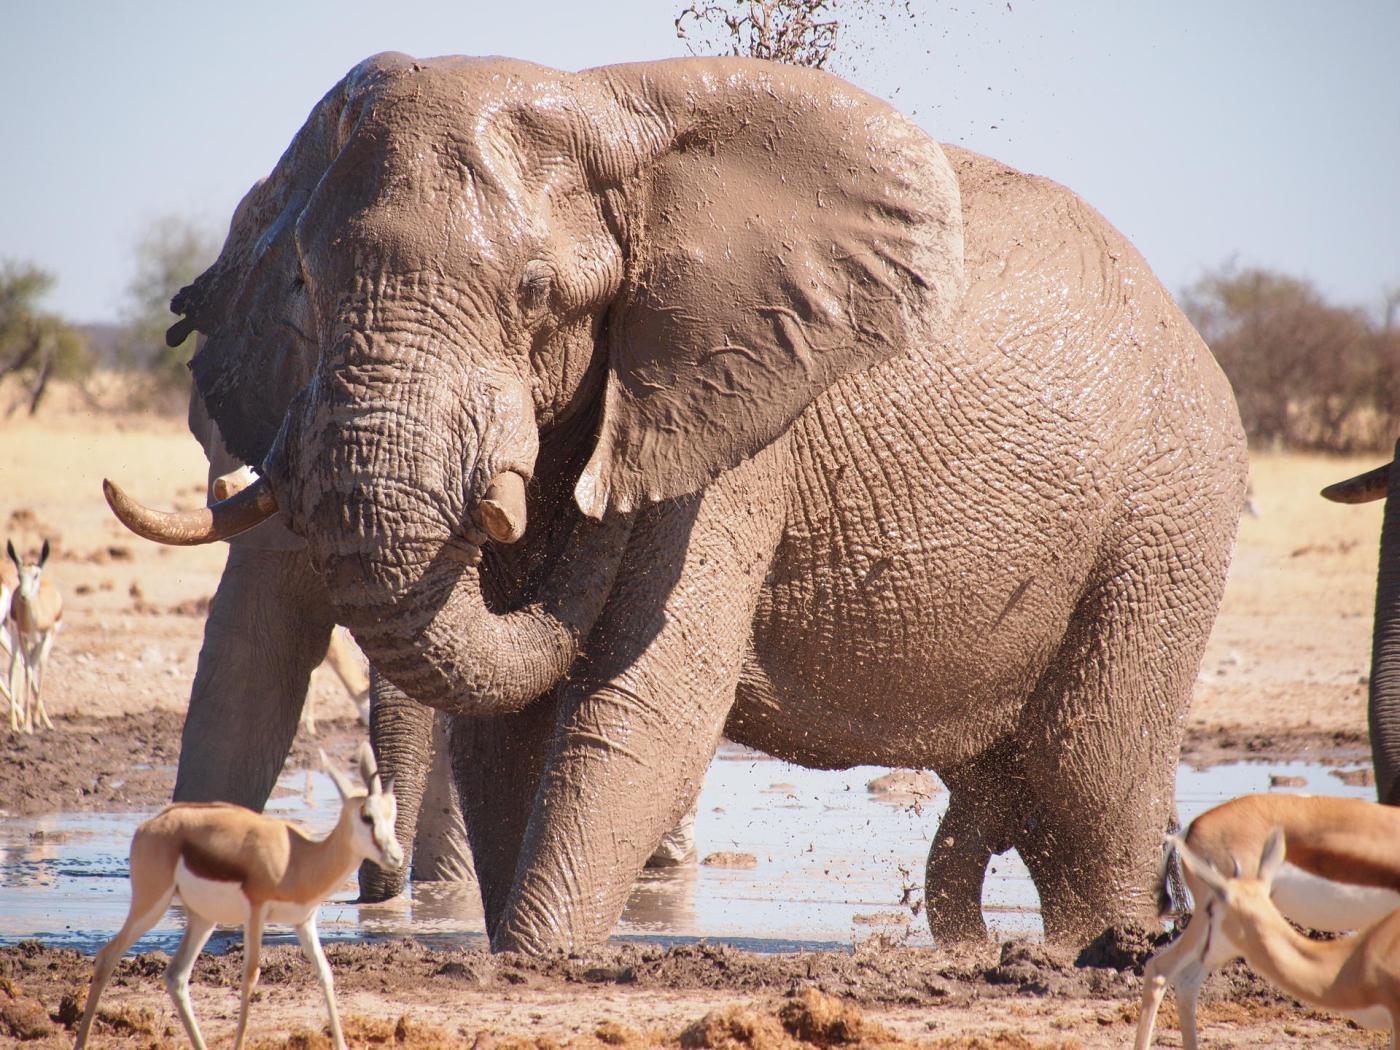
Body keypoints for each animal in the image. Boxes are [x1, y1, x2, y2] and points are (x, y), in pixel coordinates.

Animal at [109, 53, 1248, 952]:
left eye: (535, 294)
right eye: (301, 286)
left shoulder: (736, 421)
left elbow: (644, 700)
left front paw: (540, 959)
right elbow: (508, 724)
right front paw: (517, 957)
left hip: (1163, 517)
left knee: (1089, 774)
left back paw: (1089, 956)